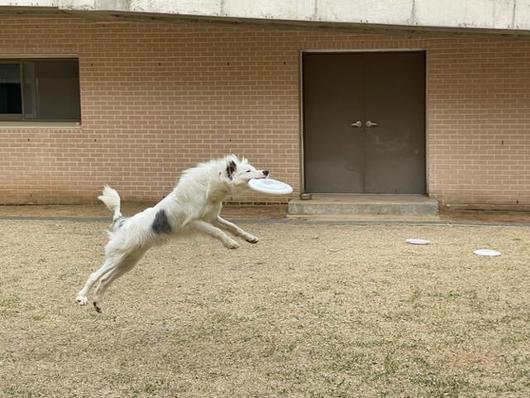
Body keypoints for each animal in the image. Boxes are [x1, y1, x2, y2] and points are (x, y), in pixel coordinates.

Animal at [76, 154, 266, 312]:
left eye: (253, 168)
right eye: (248, 171)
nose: (266, 171)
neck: (208, 188)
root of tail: (123, 222)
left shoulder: (213, 218)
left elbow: (233, 227)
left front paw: (250, 238)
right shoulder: (195, 222)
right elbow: (218, 231)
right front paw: (230, 243)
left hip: (128, 262)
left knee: (104, 280)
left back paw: (97, 304)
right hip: (117, 257)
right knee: (94, 276)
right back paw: (81, 297)